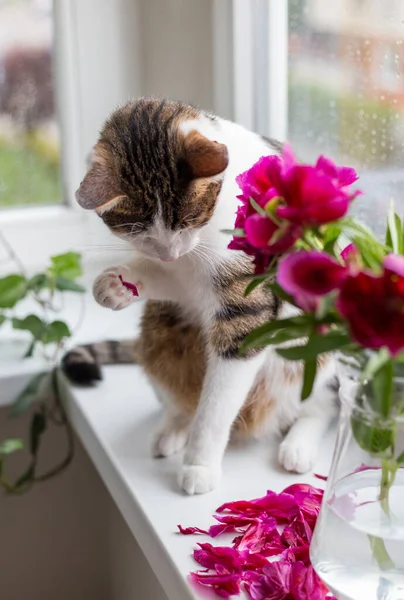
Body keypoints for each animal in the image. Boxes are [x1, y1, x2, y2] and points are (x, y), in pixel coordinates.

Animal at [63, 97, 340, 492]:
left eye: (187, 219)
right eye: (137, 230)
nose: (168, 252)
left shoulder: (245, 303)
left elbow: (217, 402)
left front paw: (200, 464)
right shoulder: (181, 276)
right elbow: (169, 280)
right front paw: (116, 284)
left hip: (311, 352)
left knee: (323, 401)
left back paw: (298, 444)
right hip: (159, 332)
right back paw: (174, 427)